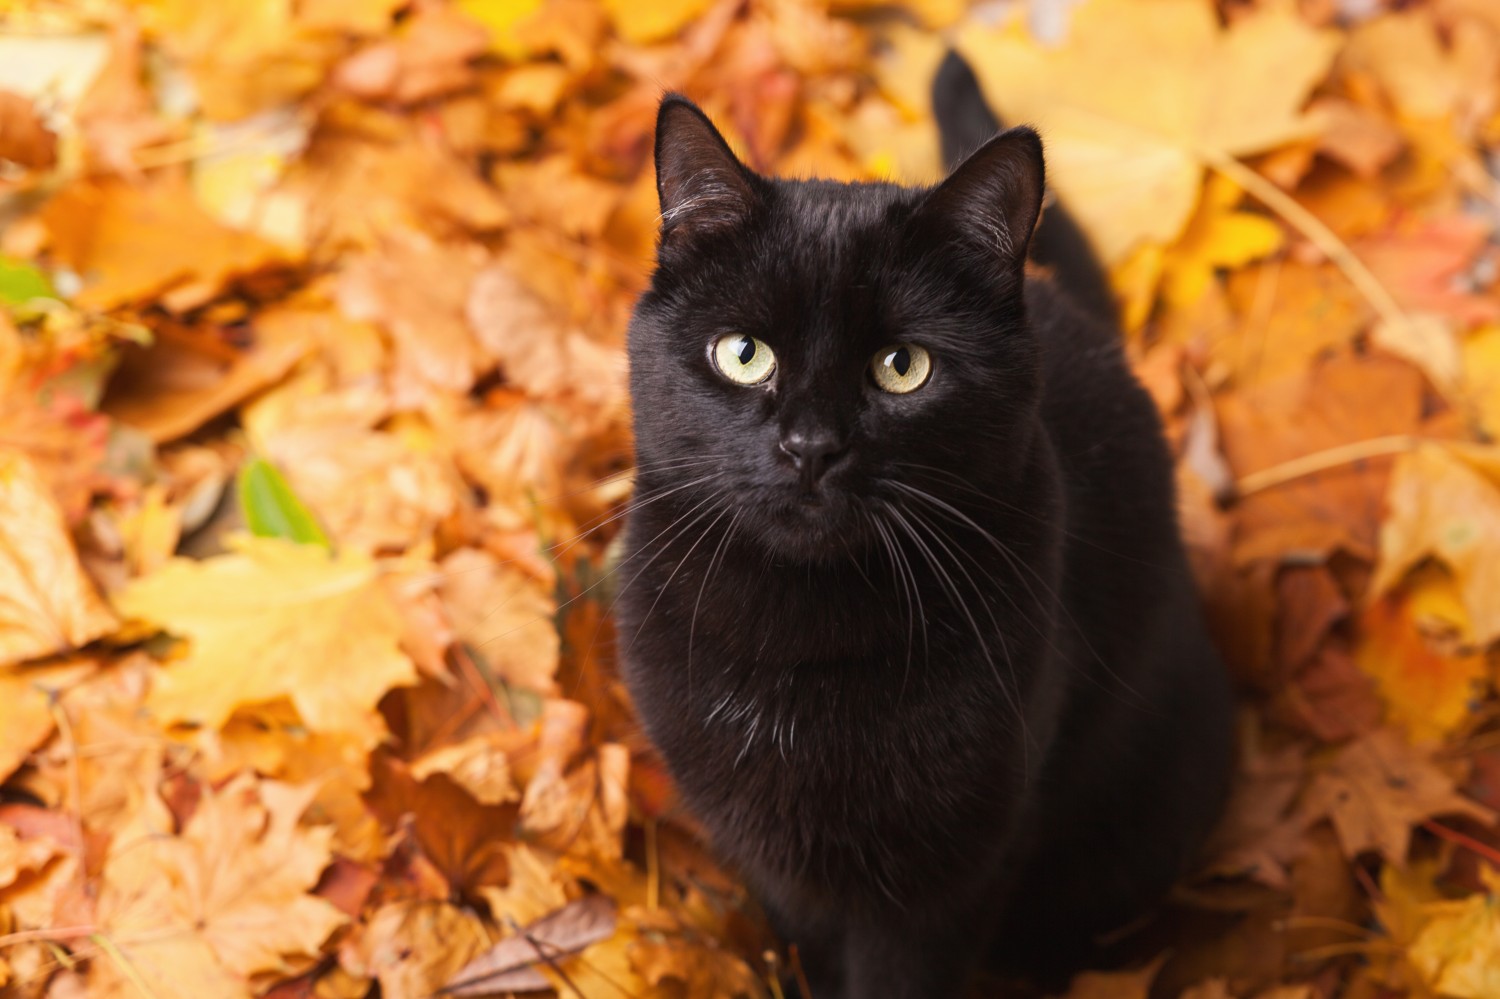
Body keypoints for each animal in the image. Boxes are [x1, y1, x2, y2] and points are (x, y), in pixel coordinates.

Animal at [615, 54, 1236, 996]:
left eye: (902, 367)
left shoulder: (946, 878)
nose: (810, 446)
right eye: (744, 353)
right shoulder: (773, 862)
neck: (804, 644)